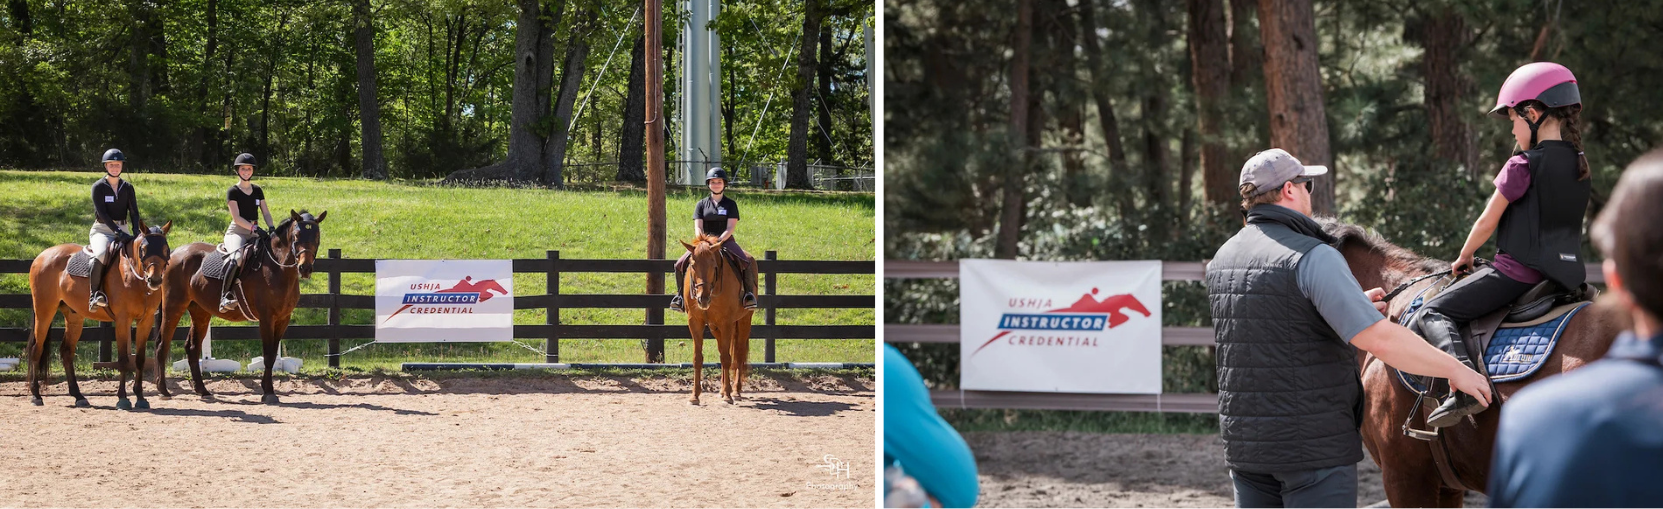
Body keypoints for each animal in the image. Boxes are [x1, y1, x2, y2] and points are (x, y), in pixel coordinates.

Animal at [25, 219, 173, 409]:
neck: (134, 275)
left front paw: (140, 398)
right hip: (44, 311)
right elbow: (123, 360)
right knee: (36, 349)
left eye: (166, 249)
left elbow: (139, 359)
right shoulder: (123, 320)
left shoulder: (145, 321)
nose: (154, 280)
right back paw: (36, 395)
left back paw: (78, 396)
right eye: (144, 249)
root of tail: (41, 256)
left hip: (74, 317)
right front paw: (122, 398)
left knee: (66, 352)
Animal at [155, 208, 324, 404]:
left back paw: (202, 390)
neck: (278, 268)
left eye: (316, 235)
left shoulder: (283, 319)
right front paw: (268, 392)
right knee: (163, 344)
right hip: (173, 307)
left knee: (192, 347)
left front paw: (268, 389)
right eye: (296, 236)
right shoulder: (267, 319)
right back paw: (163, 389)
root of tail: (176, 252)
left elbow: (273, 354)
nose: (305, 268)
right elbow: (268, 355)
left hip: (200, 312)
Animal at [678, 232, 758, 405]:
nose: (703, 299)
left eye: (713, 265)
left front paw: (728, 395)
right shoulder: (695, 322)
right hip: (715, 327)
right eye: (693, 265)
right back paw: (722, 390)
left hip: (744, 320)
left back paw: (735, 391)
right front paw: (694, 396)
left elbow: (727, 358)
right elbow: (698, 358)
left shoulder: (726, 322)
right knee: (723, 349)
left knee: (738, 352)